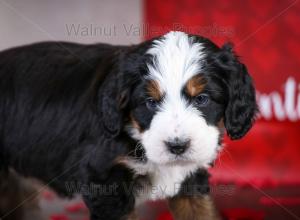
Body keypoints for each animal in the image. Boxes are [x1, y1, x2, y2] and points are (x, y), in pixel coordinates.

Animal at [0, 31, 258, 220]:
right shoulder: (105, 183)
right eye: (150, 102)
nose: (177, 146)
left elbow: (202, 213)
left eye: (202, 99)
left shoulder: (191, 180)